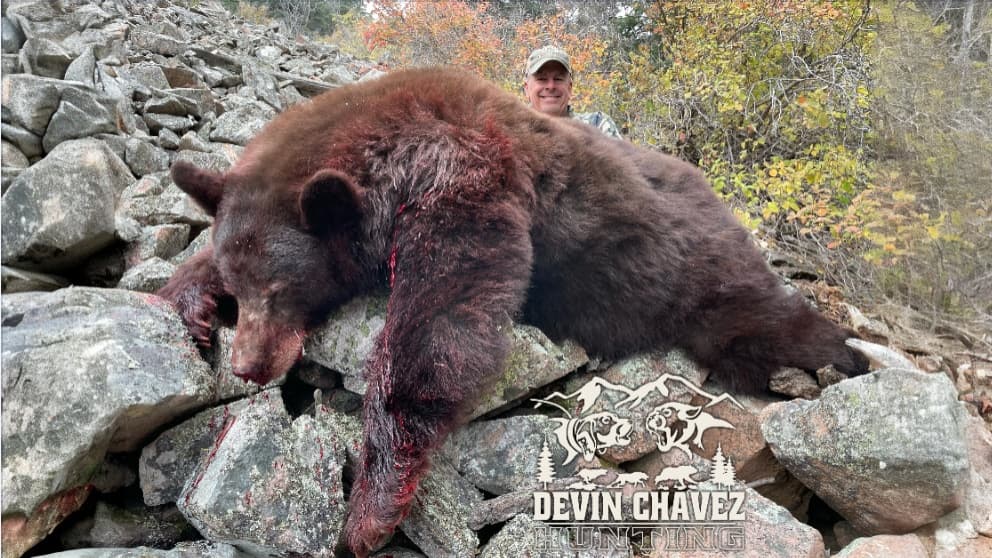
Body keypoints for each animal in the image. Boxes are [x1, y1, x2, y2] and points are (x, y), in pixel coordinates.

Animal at [158, 67, 868, 556]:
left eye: (282, 290)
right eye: (242, 286)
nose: (249, 366)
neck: (380, 144)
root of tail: (719, 199)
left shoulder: (461, 180)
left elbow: (437, 328)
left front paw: (370, 507)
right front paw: (188, 304)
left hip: (707, 277)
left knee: (768, 324)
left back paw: (842, 360)